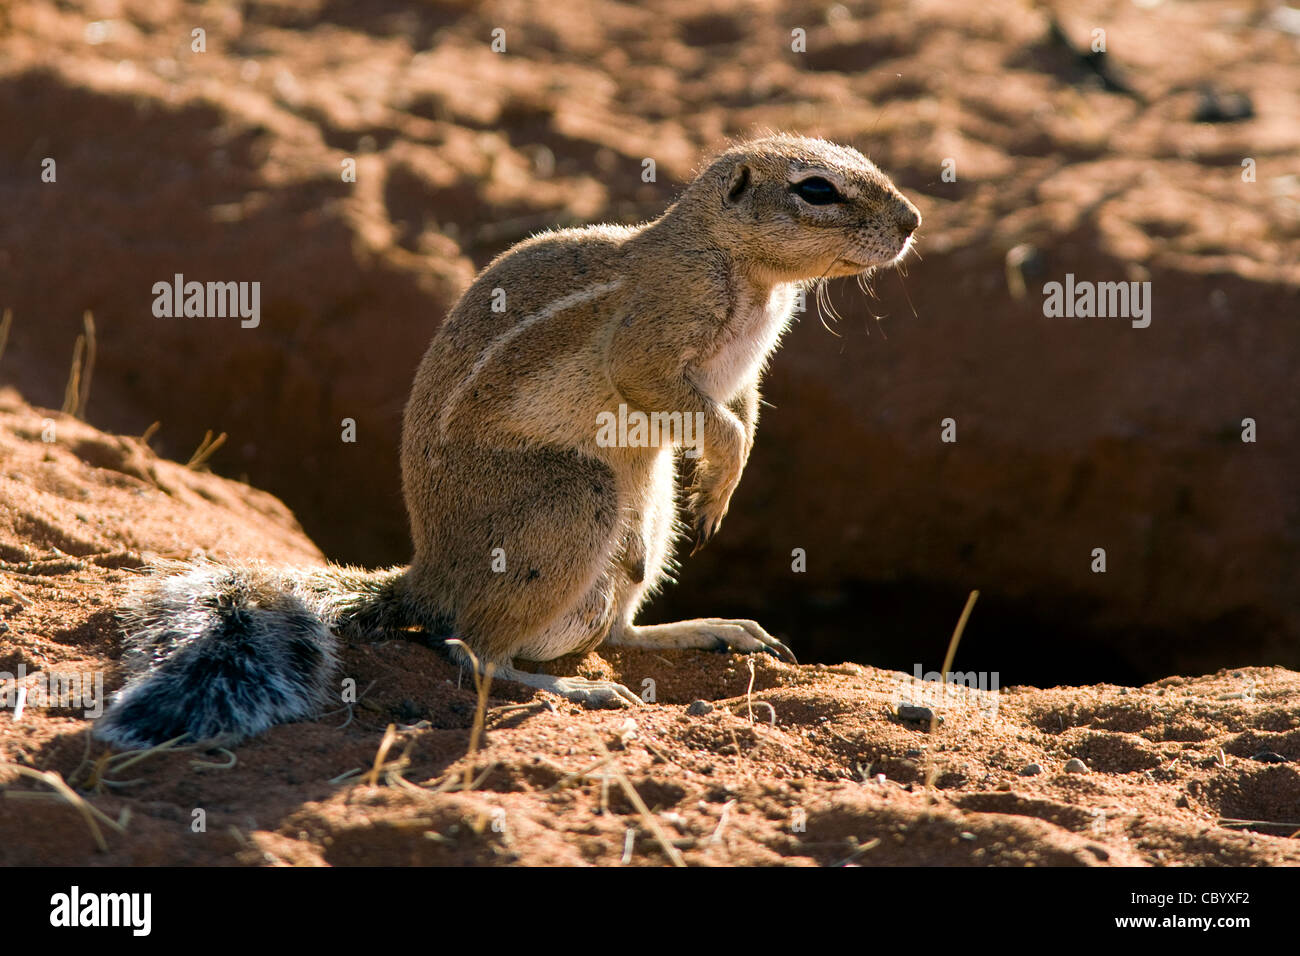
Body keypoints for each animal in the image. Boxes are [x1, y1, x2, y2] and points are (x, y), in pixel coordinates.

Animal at [94, 134, 925, 749]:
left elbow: (741, 410)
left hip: (649, 510)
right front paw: (723, 471)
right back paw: (578, 686)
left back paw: (709, 631)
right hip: (575, 495)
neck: (745, 270)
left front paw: (728, 476)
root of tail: (426, 575)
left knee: (618, 624)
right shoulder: (655, 339)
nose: (914, 220)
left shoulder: (740, 375)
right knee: (476, 651)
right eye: (816, 190)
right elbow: (686, 401)